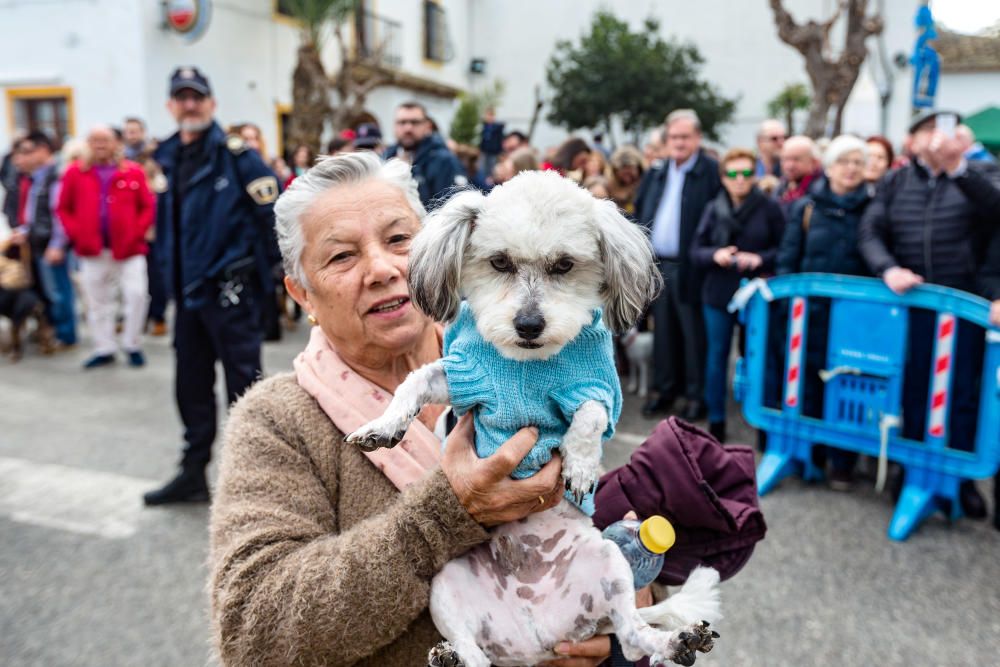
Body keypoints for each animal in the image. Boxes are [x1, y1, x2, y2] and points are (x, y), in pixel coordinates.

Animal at [346, 172, 720, 667]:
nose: (527, 325)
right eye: (499, 262)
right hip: (445, 585)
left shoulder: (597, 386)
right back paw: (449, 656)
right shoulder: (464, 377)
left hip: (609, 563)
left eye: (564, 265)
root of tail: (535, 639)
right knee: (475, 653)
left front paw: (580, 464)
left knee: (633, 635)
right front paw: (383, 427)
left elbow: (591, 414)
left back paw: (677, 642)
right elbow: (414, 381)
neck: (528, 363)